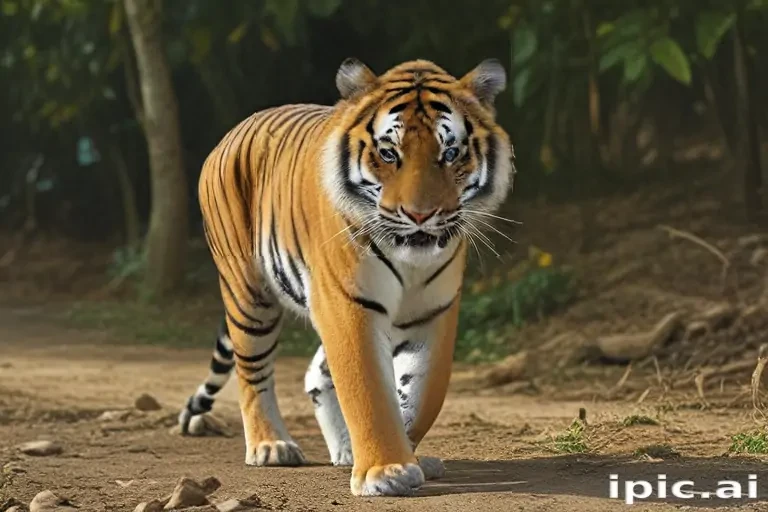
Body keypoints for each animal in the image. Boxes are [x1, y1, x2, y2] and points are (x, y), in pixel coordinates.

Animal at [177, 57, 515, 497]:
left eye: (451, 153)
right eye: (388, 154)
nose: (420, 215)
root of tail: (234, 131)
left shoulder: (433, 313)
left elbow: (424, 392)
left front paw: (406, 453)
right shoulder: (349, 305)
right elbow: (368, 390)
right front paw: (386, 470)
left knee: (314, 375)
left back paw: (345, 450)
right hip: (250, 296)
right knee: (252, 371)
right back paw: (271, 446)